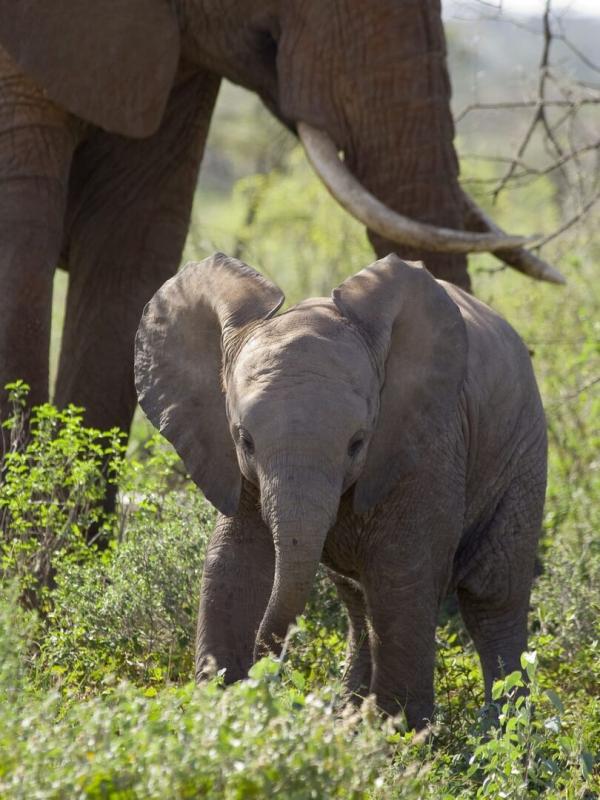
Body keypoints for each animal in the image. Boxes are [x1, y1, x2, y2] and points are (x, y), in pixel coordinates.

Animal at [134, 251, 548, 730]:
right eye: (245, 441)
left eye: (357, 443)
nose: (265, 667)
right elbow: (232, 560)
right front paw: (221, 711)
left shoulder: (428, 440)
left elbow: (402, 566)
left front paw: (398, 734)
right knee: (357, 598)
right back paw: (349, 716)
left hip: (522, 455)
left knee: (492, 597)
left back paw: (505, 731)